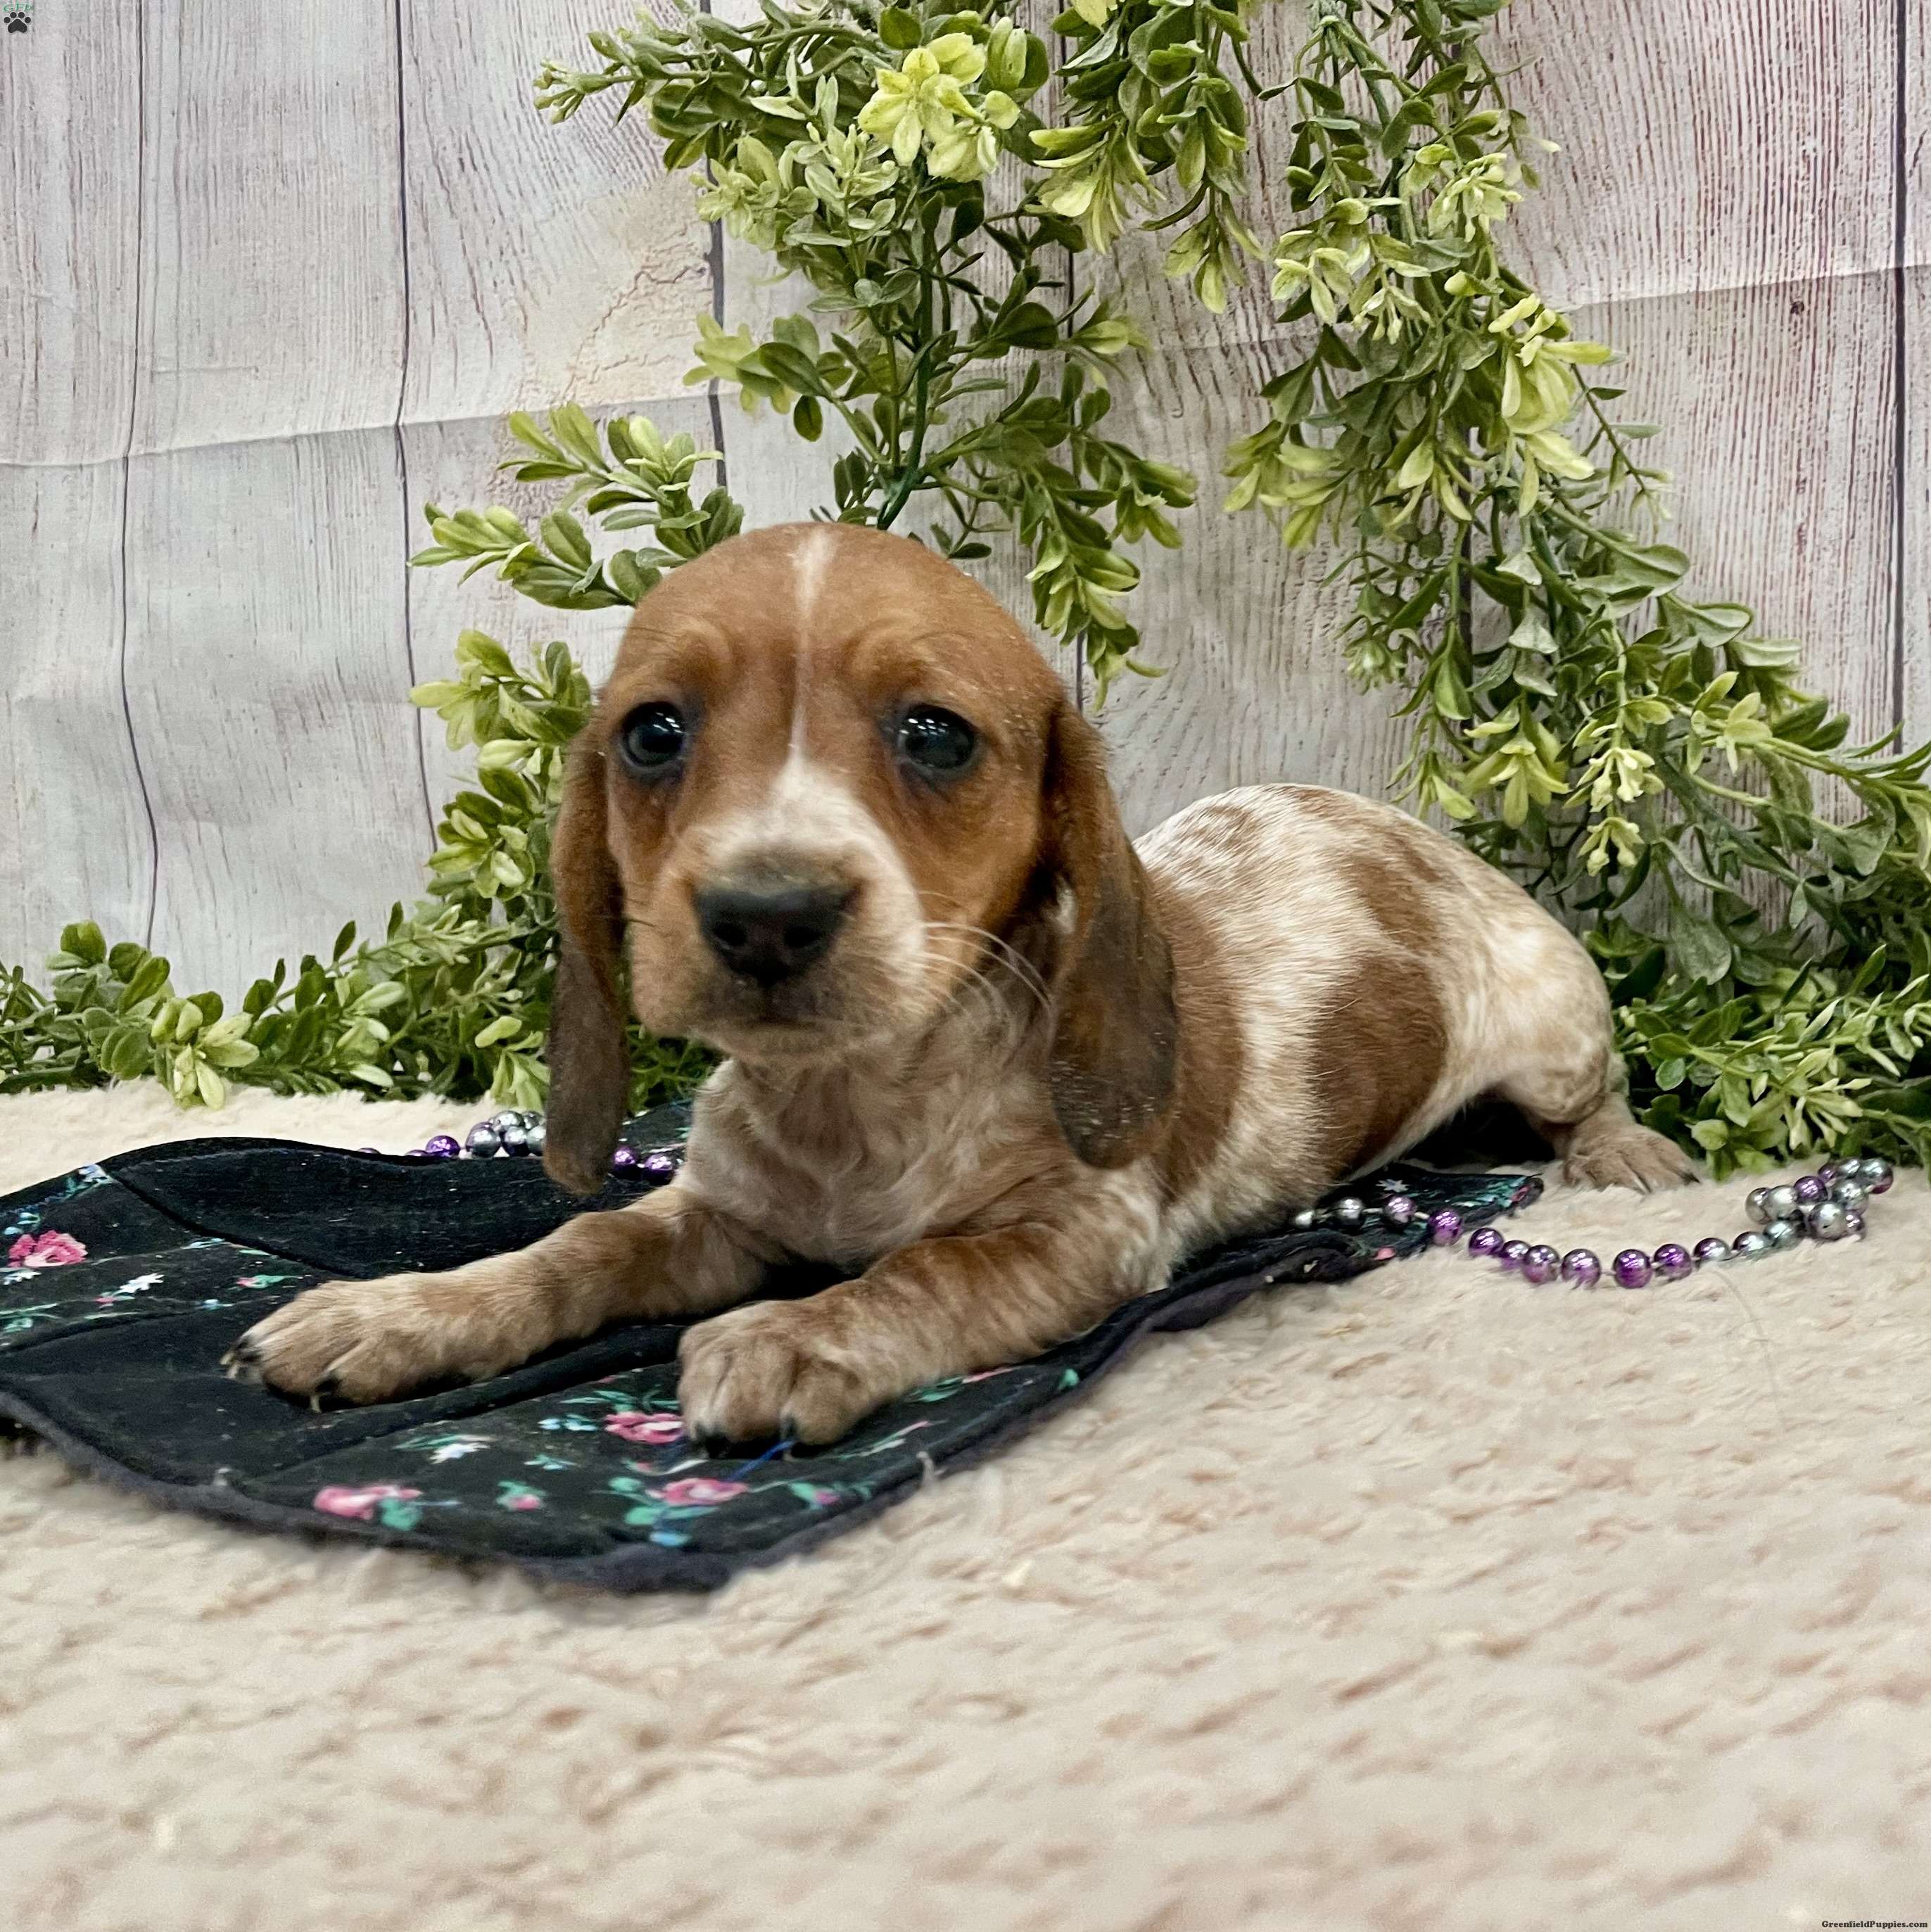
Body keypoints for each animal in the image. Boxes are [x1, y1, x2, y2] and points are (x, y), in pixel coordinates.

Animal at [228, 523, 1696, 1441]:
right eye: (652, 734)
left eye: (933, 735)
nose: (766, 917)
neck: (853, 1097)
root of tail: (1414, 836)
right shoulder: (715, 1219)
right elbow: (576, 1248)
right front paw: (408, 1312)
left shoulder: (1074, 1237)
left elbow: (917, 1275)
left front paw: (801, 1334)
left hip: (1553, 1020)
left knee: (1585, 1095)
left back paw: (1621, 1149)